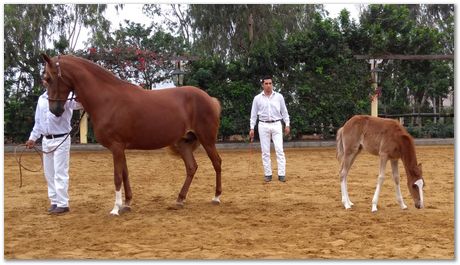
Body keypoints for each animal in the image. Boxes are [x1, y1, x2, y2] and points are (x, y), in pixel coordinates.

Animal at [41, 53, 223, 214]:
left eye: (48, 79)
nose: (55, 110)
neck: (107, 99)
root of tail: (210, 99)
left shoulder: (116, 147)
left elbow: (117, 176)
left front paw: (115, 209)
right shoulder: (121, 148)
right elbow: (125, 174)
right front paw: (127, 204)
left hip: (207, 140)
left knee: (217, 163)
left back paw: (216, 197)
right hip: (184, 143)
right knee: (192, 167)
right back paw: (180, 199)